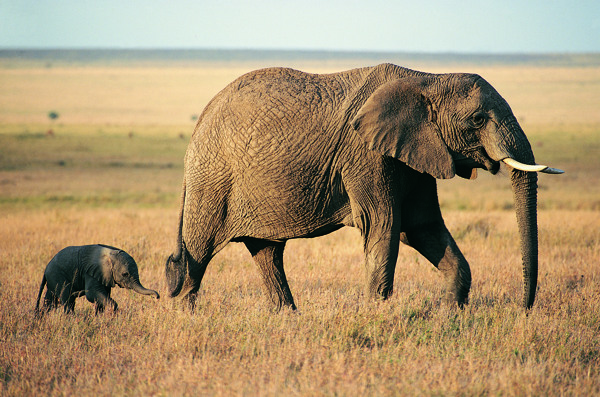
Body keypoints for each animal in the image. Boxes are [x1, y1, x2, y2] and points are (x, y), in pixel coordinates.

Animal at [165, 64, 564, 310]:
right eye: (478, 120)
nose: (524, 308)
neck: (427, 78)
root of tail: (203, 116)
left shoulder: (415, 155)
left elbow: (423, 227)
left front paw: (449, 315)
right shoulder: (366, 155)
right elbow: (384, 226)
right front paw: (377, 314)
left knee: (267, 253)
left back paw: (287, 318)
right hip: (212, 179)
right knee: (198, 251)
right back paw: (185, 317)